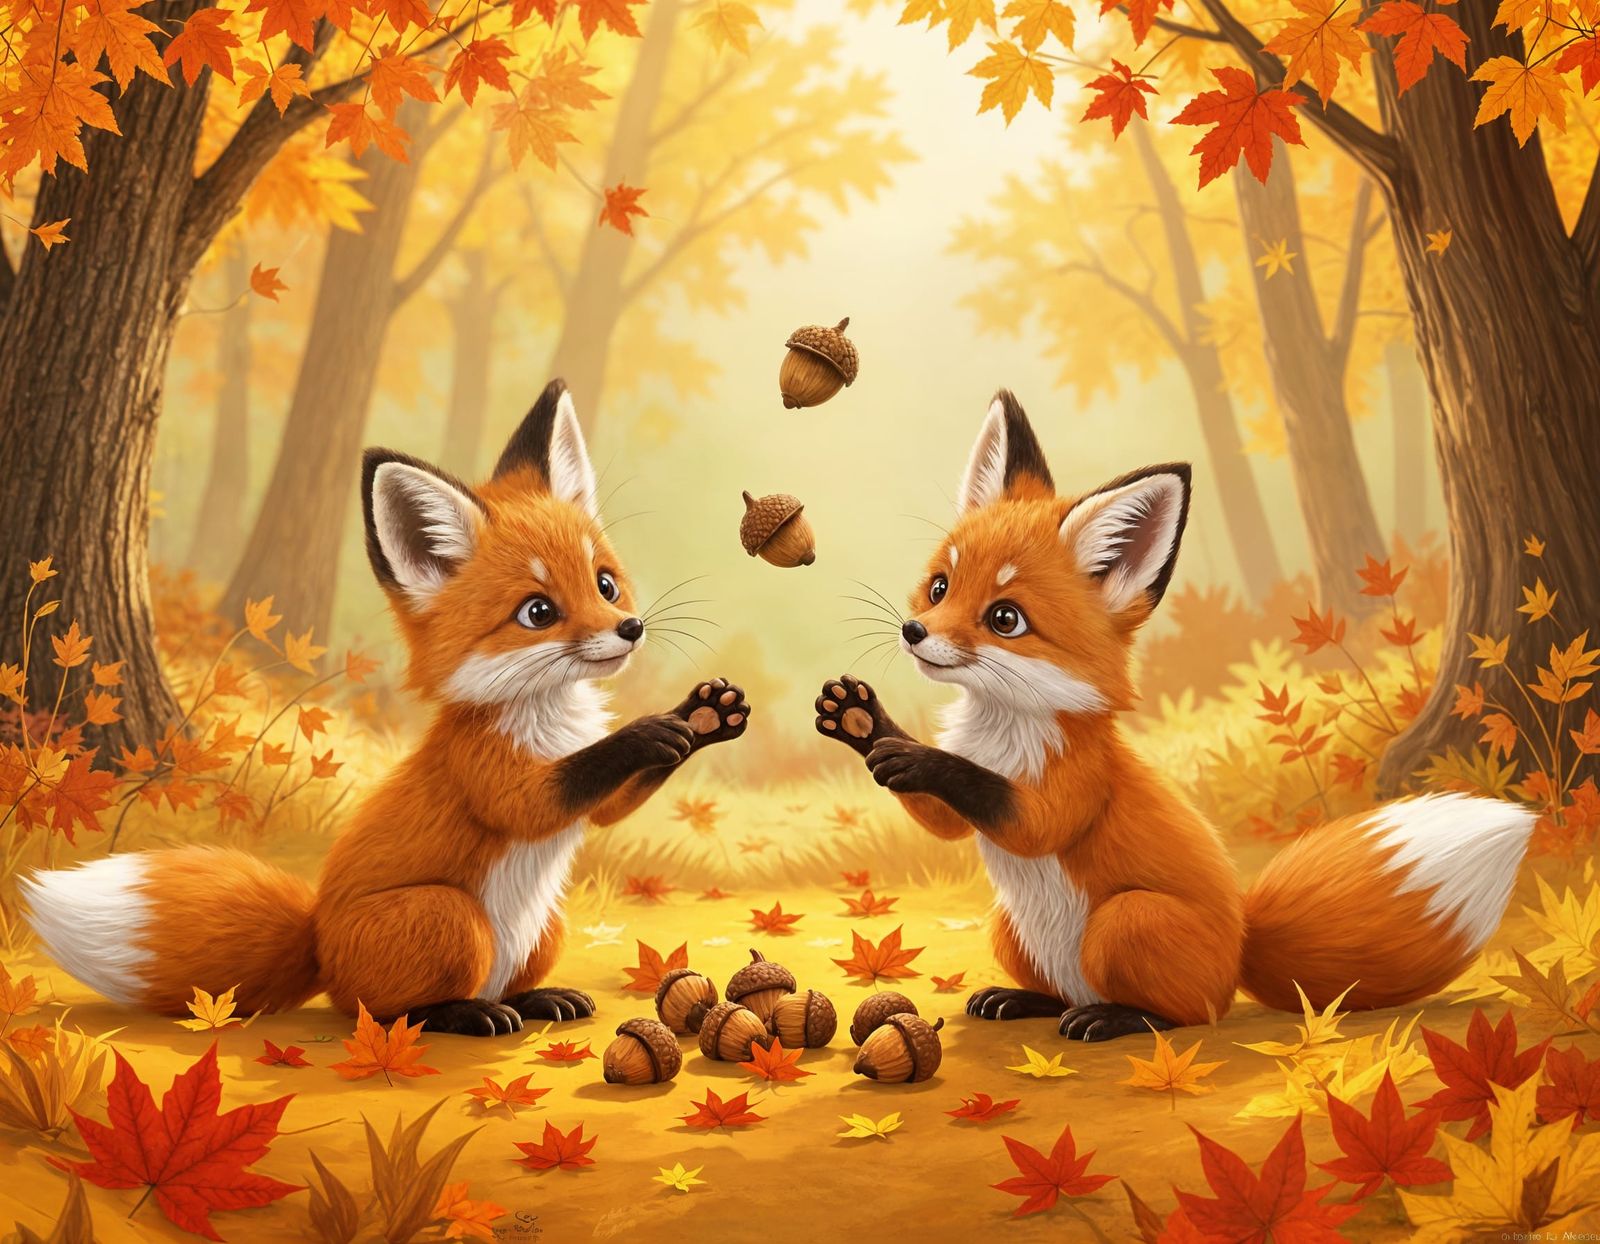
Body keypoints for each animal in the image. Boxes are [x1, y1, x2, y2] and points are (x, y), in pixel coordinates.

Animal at [24, 379, 751, 1036]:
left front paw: (704, 717)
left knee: (486, 988)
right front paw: (646, 731)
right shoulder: (485, 770)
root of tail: (318, 940)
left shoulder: (587, 804)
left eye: (605, 583)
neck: (550, 718)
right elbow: (550, 793)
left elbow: (607, 808)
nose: (629, 628)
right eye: (538, 612)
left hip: (547, 925)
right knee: (382, 1010)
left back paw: (536, 999)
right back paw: (464, 1014)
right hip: (450, 917)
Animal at [815, 390, 1534, 1041]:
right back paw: (1024, 1000)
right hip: (1008, 926)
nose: (914, 632)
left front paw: (918, 756)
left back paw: (1114, 1018)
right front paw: (861, 721)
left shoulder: (1073, 785)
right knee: (1068, 992)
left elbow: (1016, 812)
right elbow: (943, 823)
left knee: (1190, 1014)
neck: (1002, 729)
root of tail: (1241, 946)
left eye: (1005, 618)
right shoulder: (968, 815)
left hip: (1126, 921)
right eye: (940, 587)